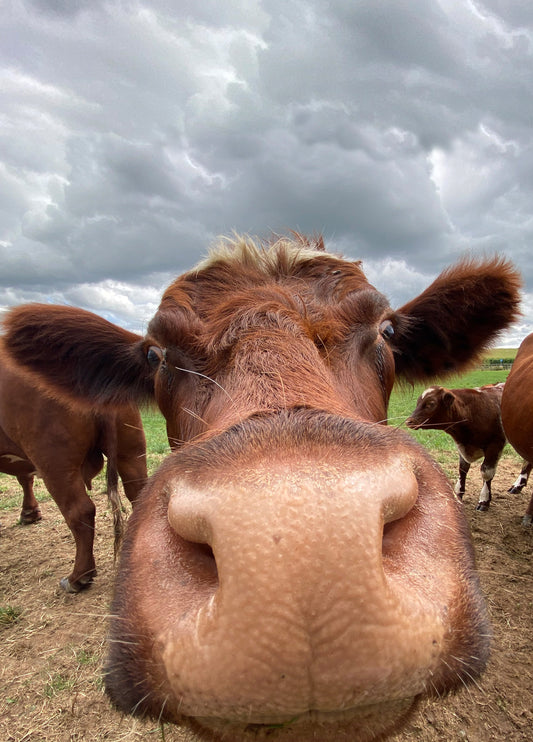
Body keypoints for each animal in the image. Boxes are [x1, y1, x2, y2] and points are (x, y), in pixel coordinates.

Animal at [0, 352, 148, 592]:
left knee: (80, 511)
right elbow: (25, 477)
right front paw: (29, 513)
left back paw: (78, 577)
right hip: (130, 448)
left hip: (54, 460)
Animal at [405, 383, 506, 511]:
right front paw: (458, 494)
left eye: (431, 403)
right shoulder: (461, 446)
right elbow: (462, 469)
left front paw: (484, 500)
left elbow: (486, 473)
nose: (409, 421)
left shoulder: (495, 446)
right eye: (418, 402)